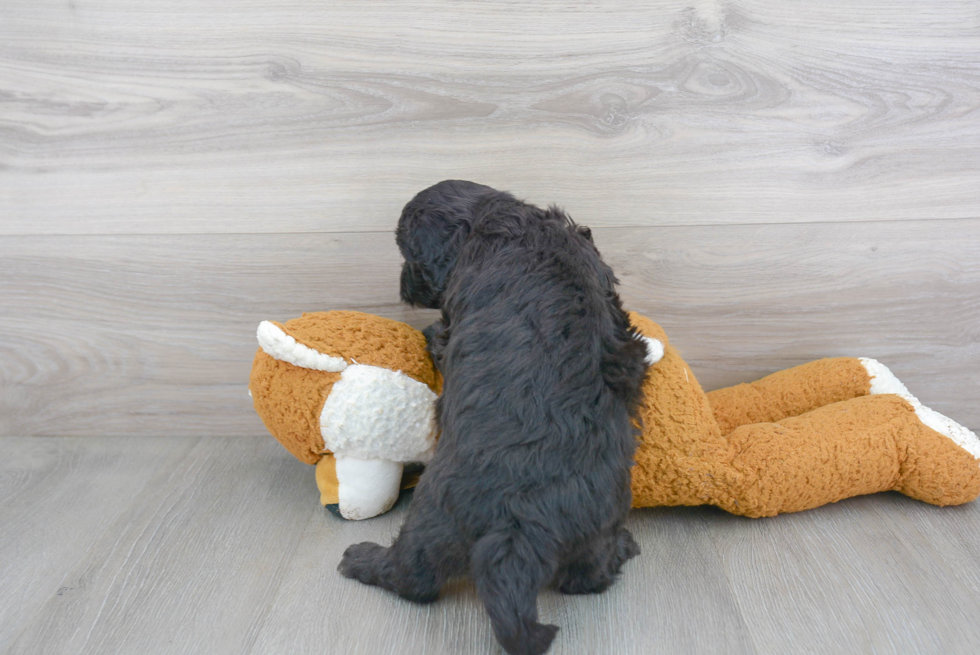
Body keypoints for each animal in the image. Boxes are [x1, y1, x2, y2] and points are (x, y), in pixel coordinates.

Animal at [338, 181, 652, 655]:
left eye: (408, 253)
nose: (402, 288)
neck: (502, 219)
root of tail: (518, 528)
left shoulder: (455, 312)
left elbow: (442, 336)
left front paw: (427, 333)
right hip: (598, 522)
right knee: (587, 579)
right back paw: (622, 550)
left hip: (432, 520)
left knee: (412, 577)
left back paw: (361, 559)